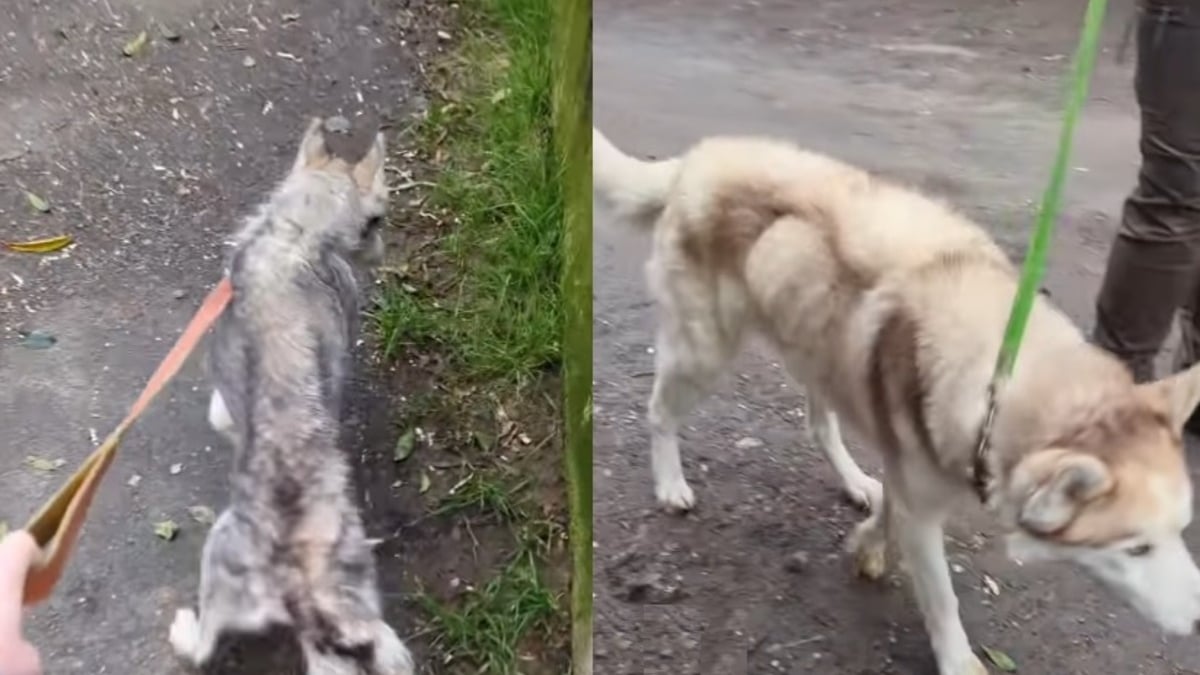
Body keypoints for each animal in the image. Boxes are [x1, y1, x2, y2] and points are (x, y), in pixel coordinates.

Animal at [166, 118, 415, 667]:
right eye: (380, 219)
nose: (384, 249)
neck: (298, 234)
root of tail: (296, 576)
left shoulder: (222, 399)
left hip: (219, 557)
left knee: (201, 649)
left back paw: (183, 630)